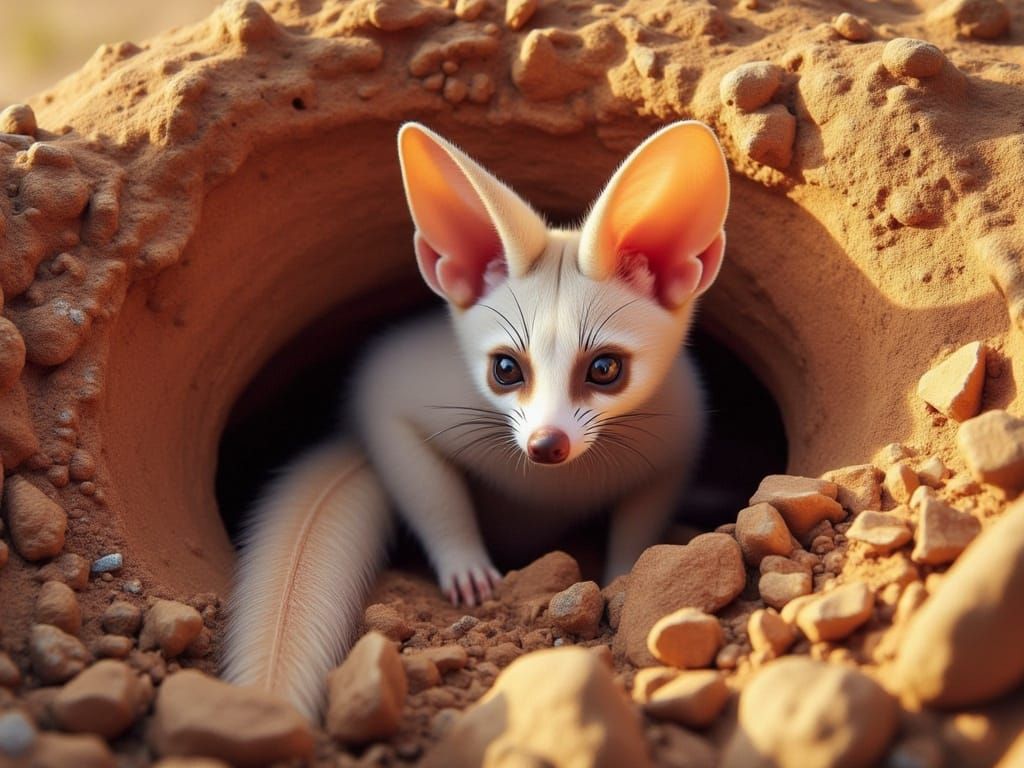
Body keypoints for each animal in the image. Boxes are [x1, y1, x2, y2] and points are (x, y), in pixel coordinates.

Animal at [222, 120, 730, 719]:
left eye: (605, 368)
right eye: (506, 369)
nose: (546, 444)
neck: (555, 485)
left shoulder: (677, 438)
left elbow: (641, 522)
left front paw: (622, 576)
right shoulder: (391, 395)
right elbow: (434, 495)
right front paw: (468, 573)